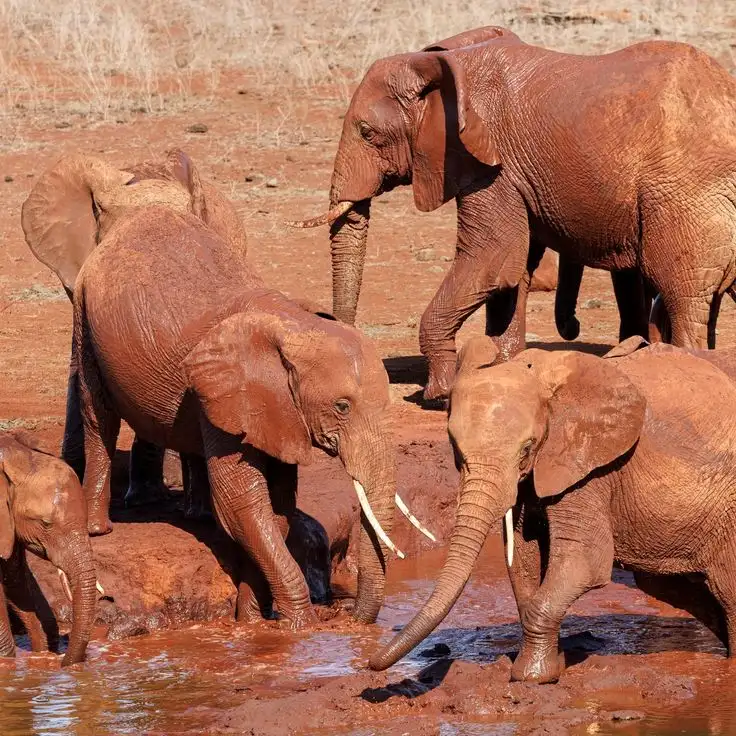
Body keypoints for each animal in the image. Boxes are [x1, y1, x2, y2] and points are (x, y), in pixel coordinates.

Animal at [292, 25, 736, 401]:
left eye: (367, 133)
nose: (347, 340)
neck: (443, 63)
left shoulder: (491, 165)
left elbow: (493, 259)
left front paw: (438, 393)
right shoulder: (511, 172)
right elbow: (513, 269)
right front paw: (501, 368)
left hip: (684, 197)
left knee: (683, 296)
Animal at [369, 336, 736, 682]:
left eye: (527, 447)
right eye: (455, 447)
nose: (372, 664)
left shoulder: (588, 469)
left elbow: (585, 562)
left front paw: (530, 678)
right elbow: (524, 559)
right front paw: (548, 665)